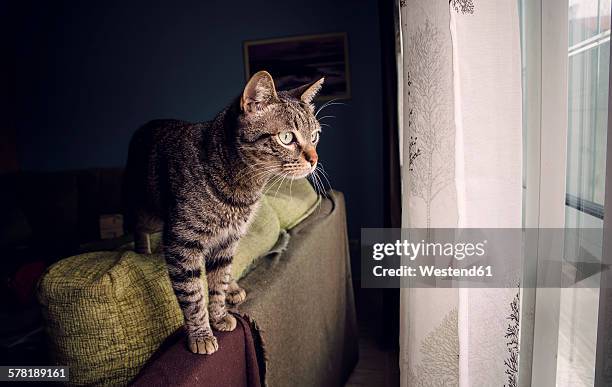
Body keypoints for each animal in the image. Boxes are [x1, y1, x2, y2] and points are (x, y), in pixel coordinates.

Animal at [123, 70, 326, 354]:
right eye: (287, 138)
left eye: (315, 136)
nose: (315, 159)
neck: (242, 188)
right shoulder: (182, 243)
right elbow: (193, 295)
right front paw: (201, 334)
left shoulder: (228, 240)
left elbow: (217, 283)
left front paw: (219, 315)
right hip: (146, 210)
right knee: (137, 227)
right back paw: (142, 251)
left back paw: (232, 287)